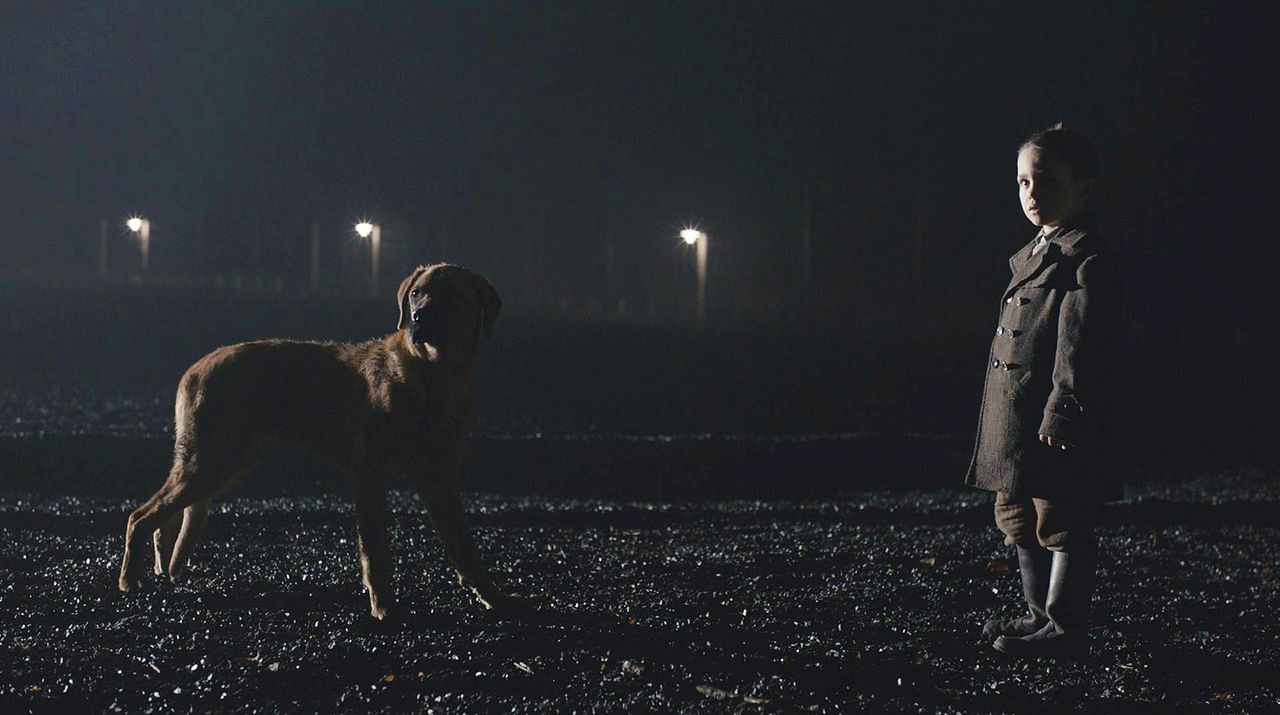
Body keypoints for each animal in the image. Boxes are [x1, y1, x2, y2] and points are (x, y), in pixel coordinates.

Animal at [116, 263, 524, 621]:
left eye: (453, 295)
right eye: (416, 294)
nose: (418, 318)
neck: (433, 377)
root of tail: (196, 366)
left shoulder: (439, 479)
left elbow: (466, 549)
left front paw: (495, 598)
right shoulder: (370, 474)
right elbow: (376, 550)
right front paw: (383, 606)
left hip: (226, 464)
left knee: (167, 514)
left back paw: (165, 569)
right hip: (211, 461)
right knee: (141, 515)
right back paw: (130, 578)